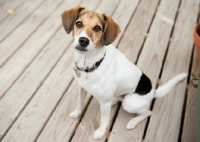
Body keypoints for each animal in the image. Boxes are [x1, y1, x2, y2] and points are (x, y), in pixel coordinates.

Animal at [61, 6, 188, 140]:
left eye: (97, 28)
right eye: (79, 24)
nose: (83, 41)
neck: (91, 64)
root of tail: (153, 91)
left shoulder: (105, 103)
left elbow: (104, 120)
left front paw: (100, 132)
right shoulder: (82, 88)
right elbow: (80, 103)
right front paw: (76, 113)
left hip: (129, 103)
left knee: (148, 112)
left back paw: (133, 122)